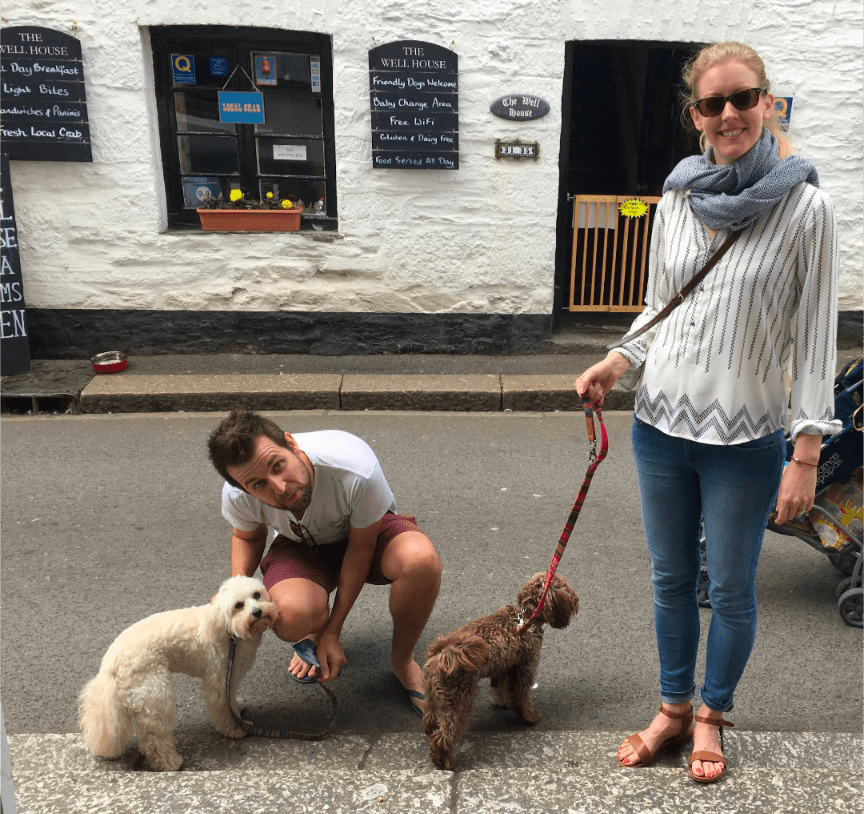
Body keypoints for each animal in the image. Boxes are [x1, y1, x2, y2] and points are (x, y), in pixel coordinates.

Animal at [78, 575, 278, 771]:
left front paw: (238, 708)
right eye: (238, 605)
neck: (228, 630)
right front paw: (235, 729)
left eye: (257, 594)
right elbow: (222, 709)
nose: (257, 612)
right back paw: (169, 762)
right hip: (156, 692)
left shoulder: (232, 675)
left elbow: (232, 699)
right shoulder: (217, 681)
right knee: (153, 738)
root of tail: (109, 664)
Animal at [422, 572, 579, 770]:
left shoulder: (503, 667)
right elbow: (522, 696)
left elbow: (499, 688)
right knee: (444, 736)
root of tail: (442, 652)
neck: (526, 618)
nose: (576, 600)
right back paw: (444, 762)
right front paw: (529, 716)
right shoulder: (524, 667)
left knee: (430, 718)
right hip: (458, 700)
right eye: (566, 588)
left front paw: (501, 702)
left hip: (434, 695)